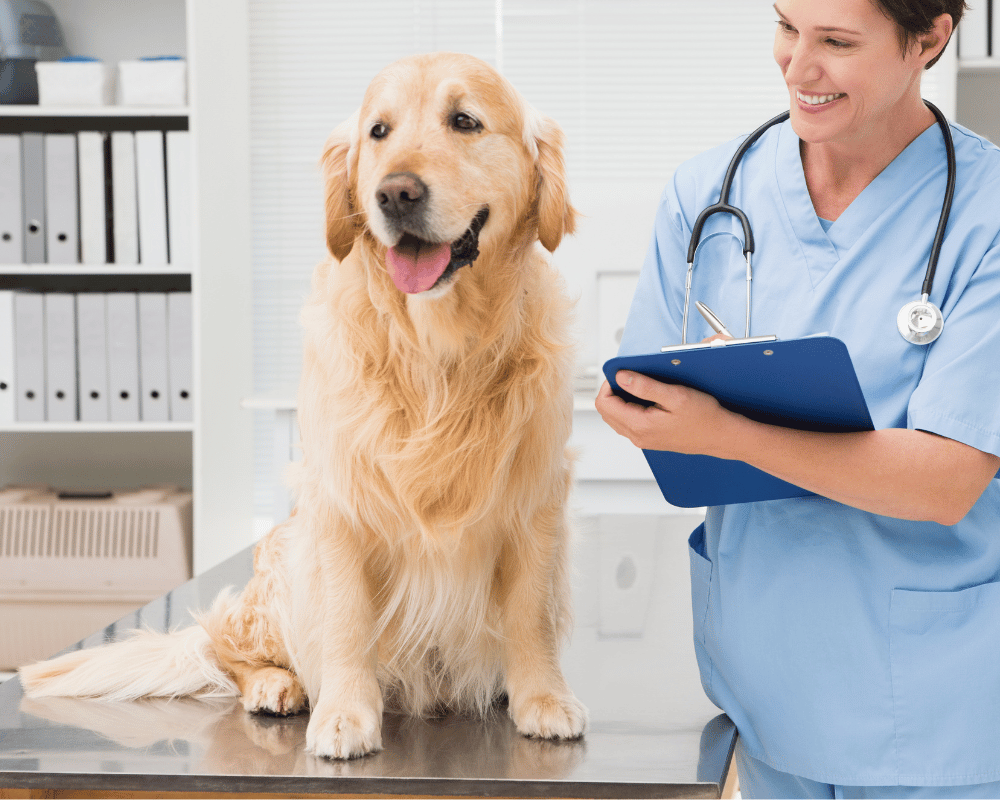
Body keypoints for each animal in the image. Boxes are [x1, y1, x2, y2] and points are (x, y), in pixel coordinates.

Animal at [17, 53, 584, 760]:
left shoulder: (536, 498)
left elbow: (530, 614)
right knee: (223, 644)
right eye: (378, 131)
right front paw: (344, 713)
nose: (395, 193)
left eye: (465, 121)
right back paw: (275, 684)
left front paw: (543, 699)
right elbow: (346, 619)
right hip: (283, 566)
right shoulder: (340, 501)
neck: (437, 354)